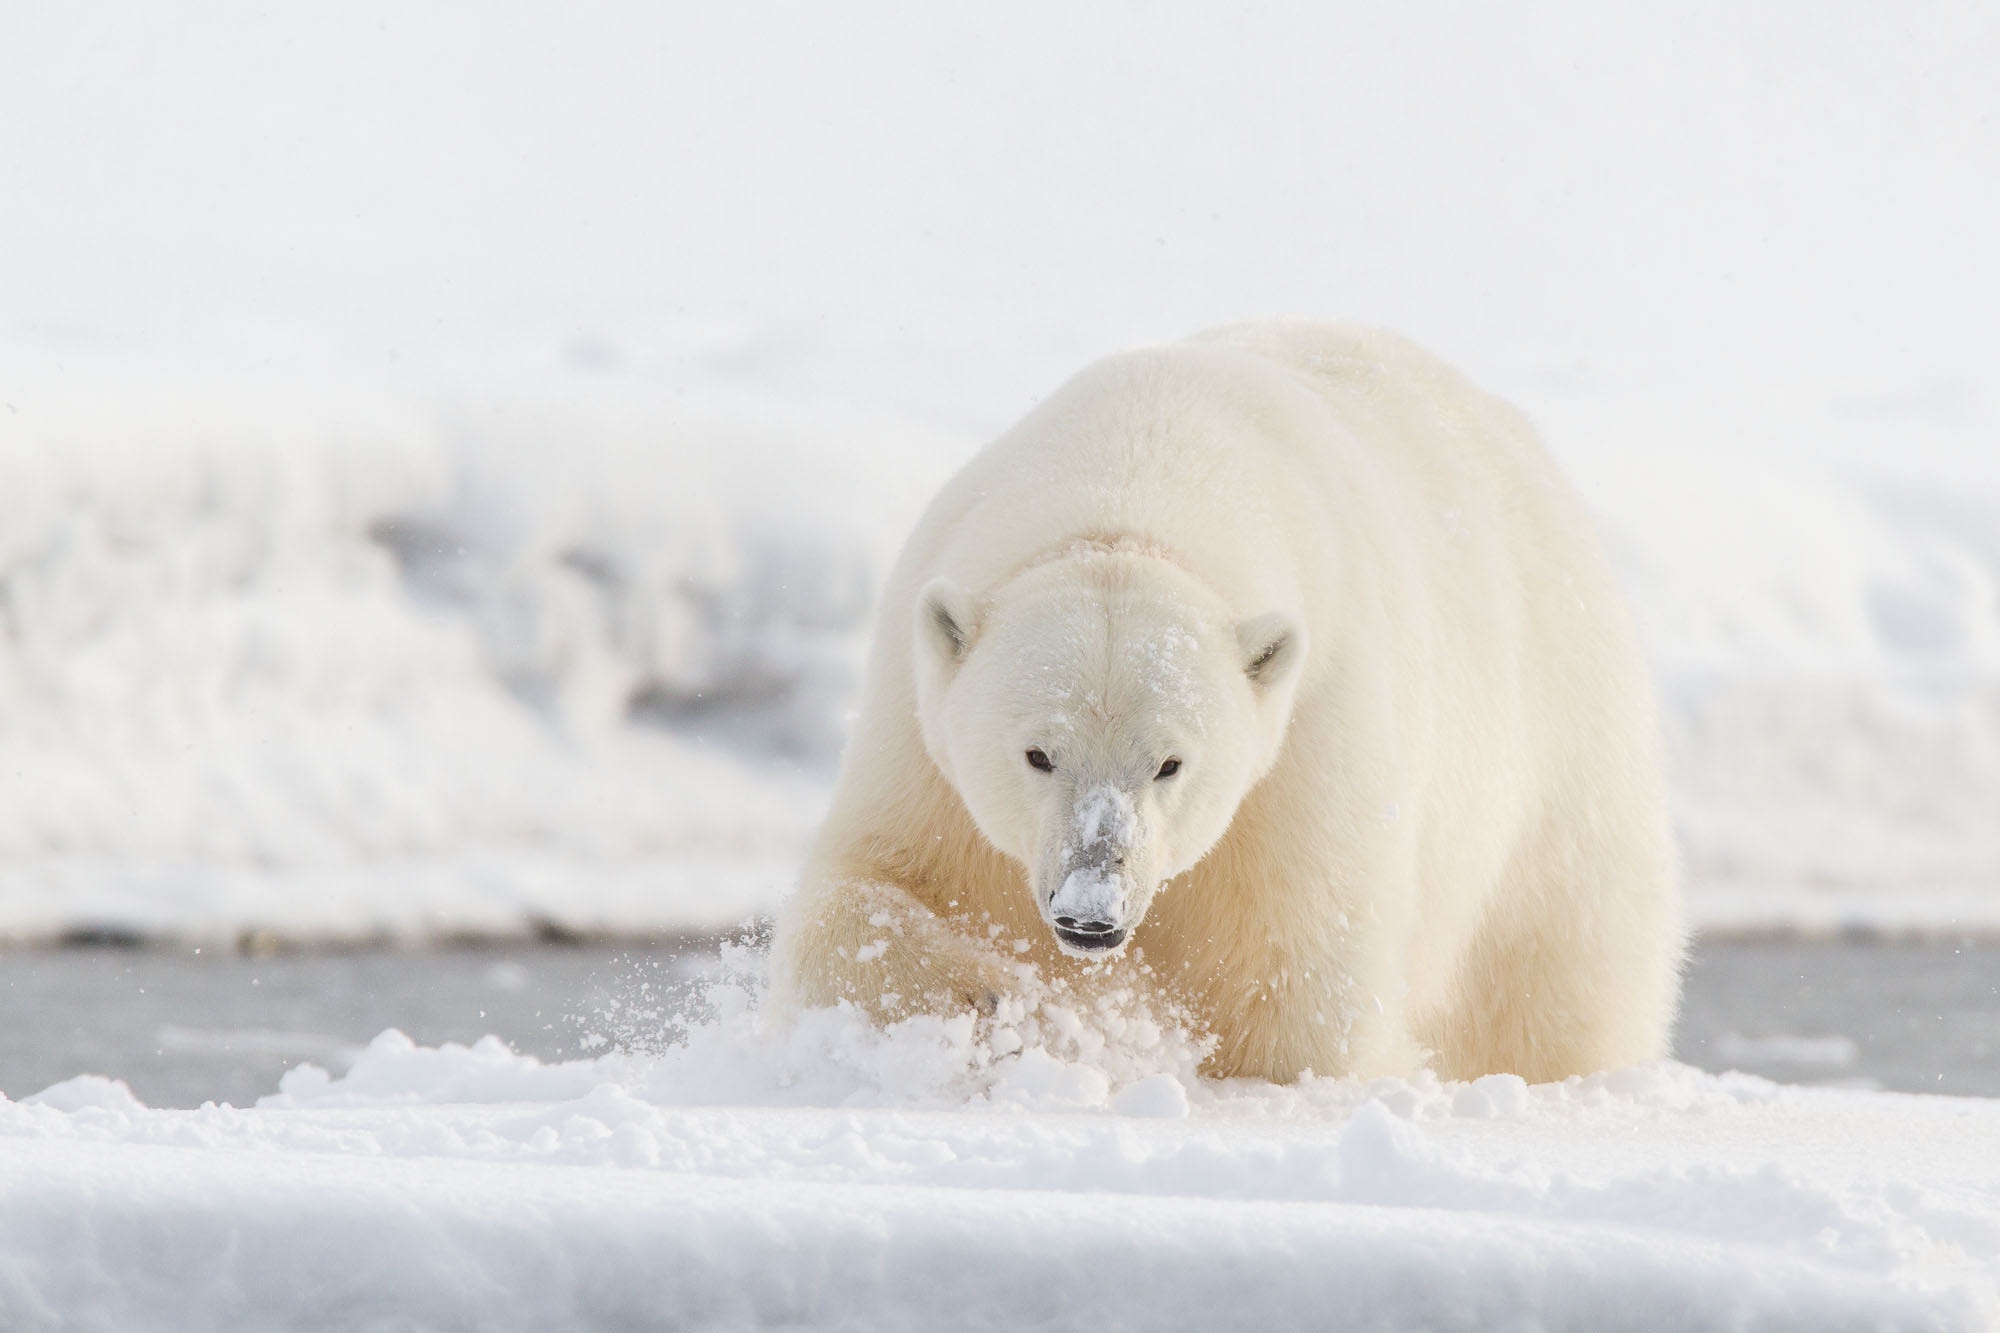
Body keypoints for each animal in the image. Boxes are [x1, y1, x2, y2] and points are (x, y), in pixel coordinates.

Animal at [772, 320, 1680, 1080]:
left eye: (1170, 762)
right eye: (1037, 753)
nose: (1092, 910)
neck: (1134, 474)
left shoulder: (1308, 739)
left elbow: (1296, 985)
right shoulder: (919, 731)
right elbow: (870, 888)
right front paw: (1003, 1001)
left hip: (1557, 751)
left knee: (1559, 970)